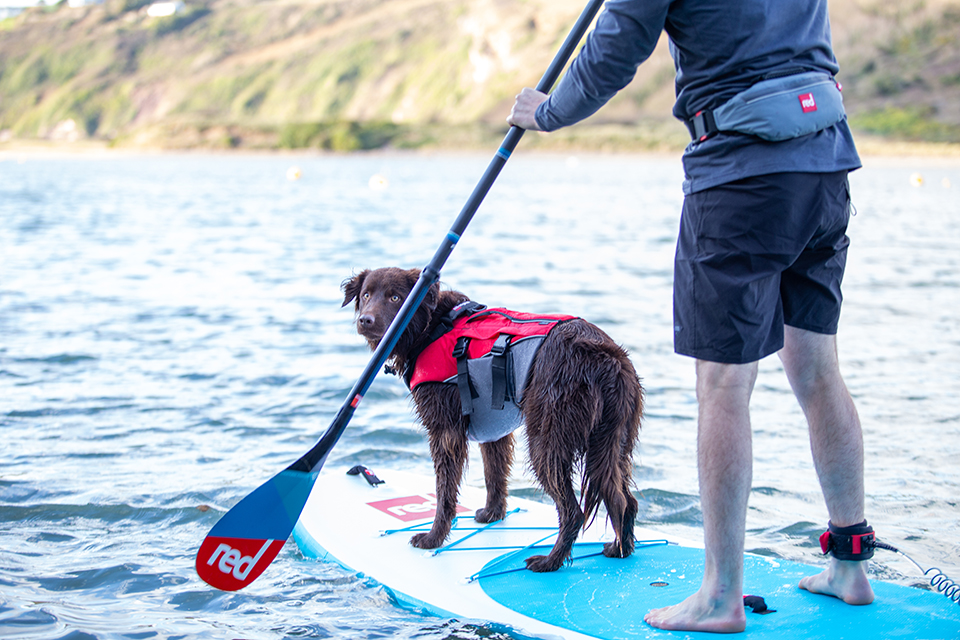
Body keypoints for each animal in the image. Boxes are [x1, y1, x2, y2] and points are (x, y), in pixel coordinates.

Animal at [342, 268, 640, 572]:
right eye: (366, 295)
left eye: (395, 297)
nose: (365, 320)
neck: (432, 327)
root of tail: (606, 357)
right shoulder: (494, 428)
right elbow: (494, 474)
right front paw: (493, 514)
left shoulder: (444, 430)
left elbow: (444, 490)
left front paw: (433, 538)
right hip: (611, 441)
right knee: (625, 499)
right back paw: (620, 549)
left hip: (547, 440)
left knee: (573, 512)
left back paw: (550, 561)